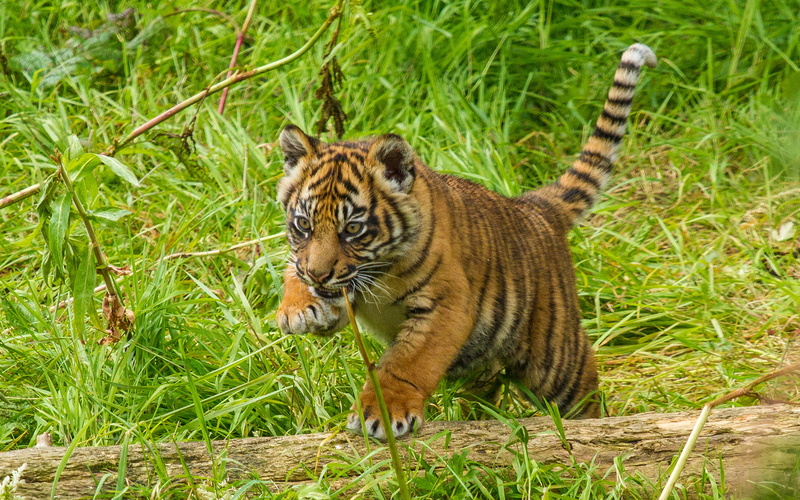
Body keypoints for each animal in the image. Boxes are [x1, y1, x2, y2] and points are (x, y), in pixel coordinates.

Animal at [275, 43, 656, 439]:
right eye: (303, 225)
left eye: (352, 229)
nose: (318, 276)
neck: (377, 273)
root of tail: (534, 206)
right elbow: (294, 269)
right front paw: (298, 309)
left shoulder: (447, 305)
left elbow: (406, 363)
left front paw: (382, 412)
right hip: (483, 360)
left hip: (557, 360)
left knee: (587, 394)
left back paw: (599, 428)